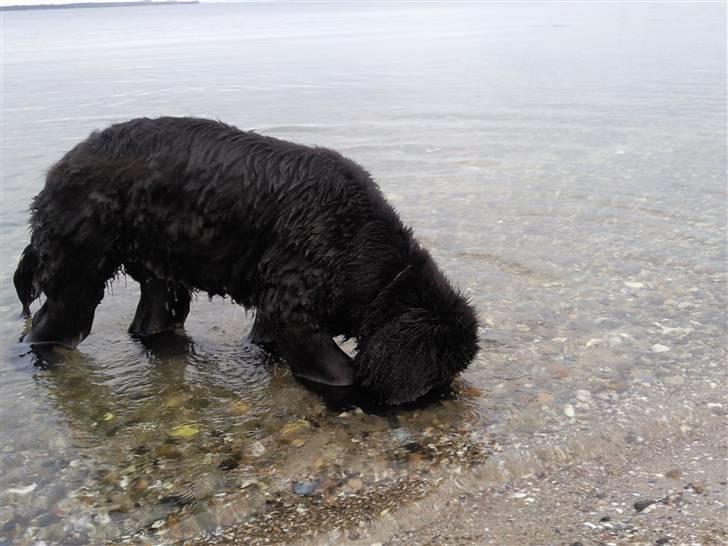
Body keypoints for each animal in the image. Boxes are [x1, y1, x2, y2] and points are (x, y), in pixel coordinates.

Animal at [14, 117, 478, 402]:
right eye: (437, 379)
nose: (445, 394)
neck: (359, 247)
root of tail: (55, 172)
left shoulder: (279, 297)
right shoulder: (292, 301)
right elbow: (335, 368)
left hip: (161, 272)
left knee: (153, 318)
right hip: (78, 266)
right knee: (49, 325)